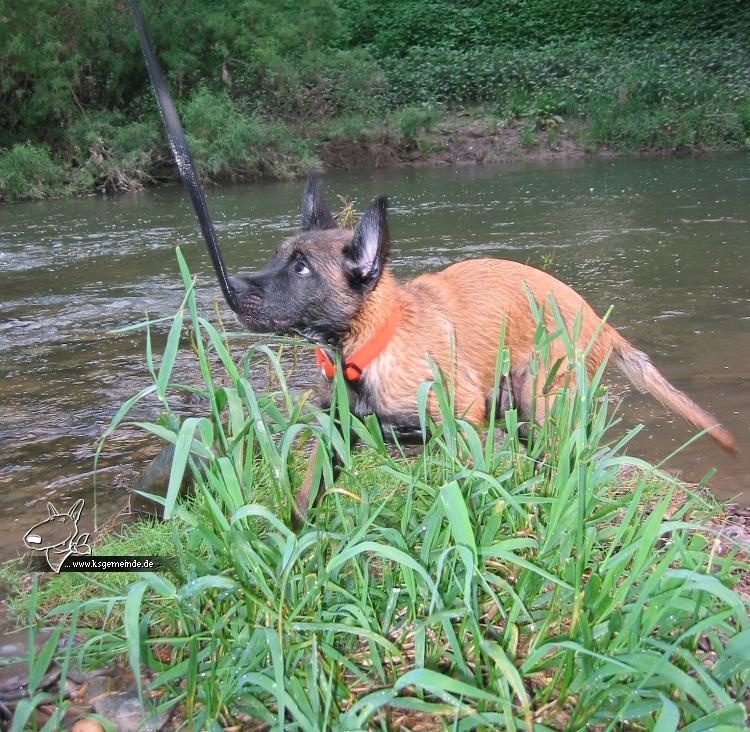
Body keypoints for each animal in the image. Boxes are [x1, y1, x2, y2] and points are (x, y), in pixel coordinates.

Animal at [228, 175, 736, 524]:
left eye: (302, 269)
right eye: (279, 256)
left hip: (540, 400)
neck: (372, 345)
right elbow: (304, 499)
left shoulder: (461, 424)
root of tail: (601, 323)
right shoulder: (335, 434)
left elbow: (465, 491)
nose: (230, 285)